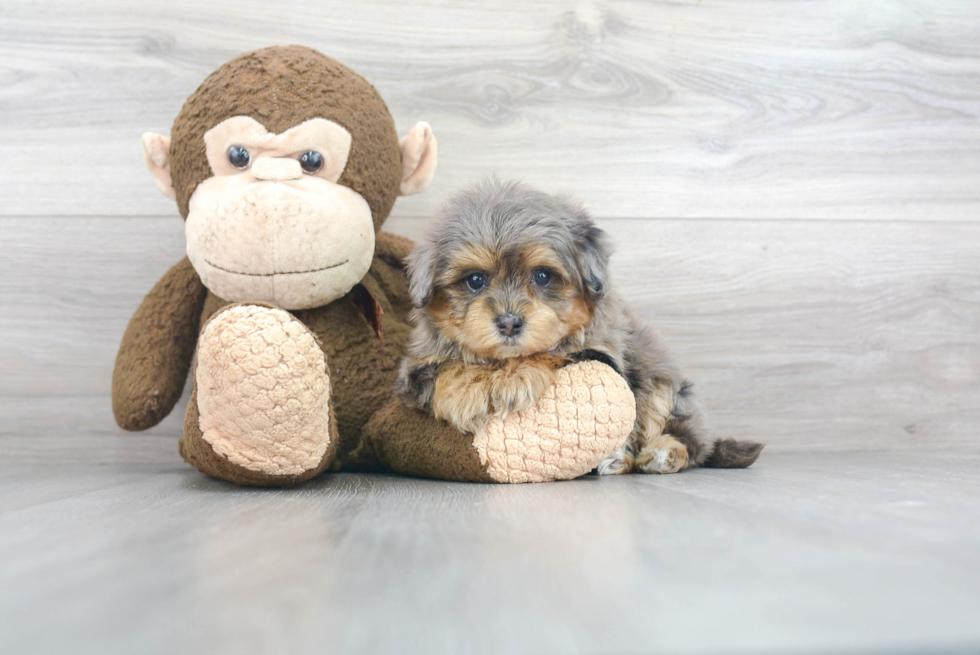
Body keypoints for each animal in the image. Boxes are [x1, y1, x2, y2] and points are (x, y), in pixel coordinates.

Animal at [394, 179, 760, 474]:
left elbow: (552, 351)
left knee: (689, 442)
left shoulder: (601, 353)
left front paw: (513, 378)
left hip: (663, 387)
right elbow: (445, 370)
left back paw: (657, 455)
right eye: (475, 281)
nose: (510, 322)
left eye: (542, 275)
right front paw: (468, 389)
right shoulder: (415, 369)